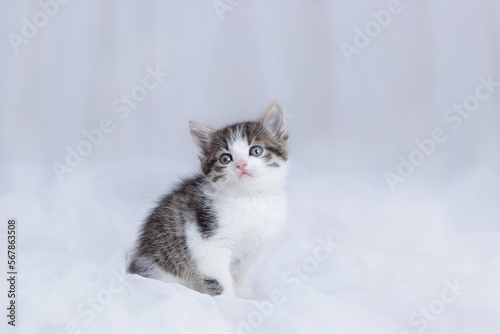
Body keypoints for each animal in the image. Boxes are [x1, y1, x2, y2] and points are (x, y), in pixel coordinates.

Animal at [127, 101, 288, 298]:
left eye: (256, 151)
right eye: (225, 158)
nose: (241, 165)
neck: (248, 197)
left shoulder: (249, 251)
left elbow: (242, 274)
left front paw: (245, 296)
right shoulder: (205, 242)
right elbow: (220, 281)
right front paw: (229, 303)